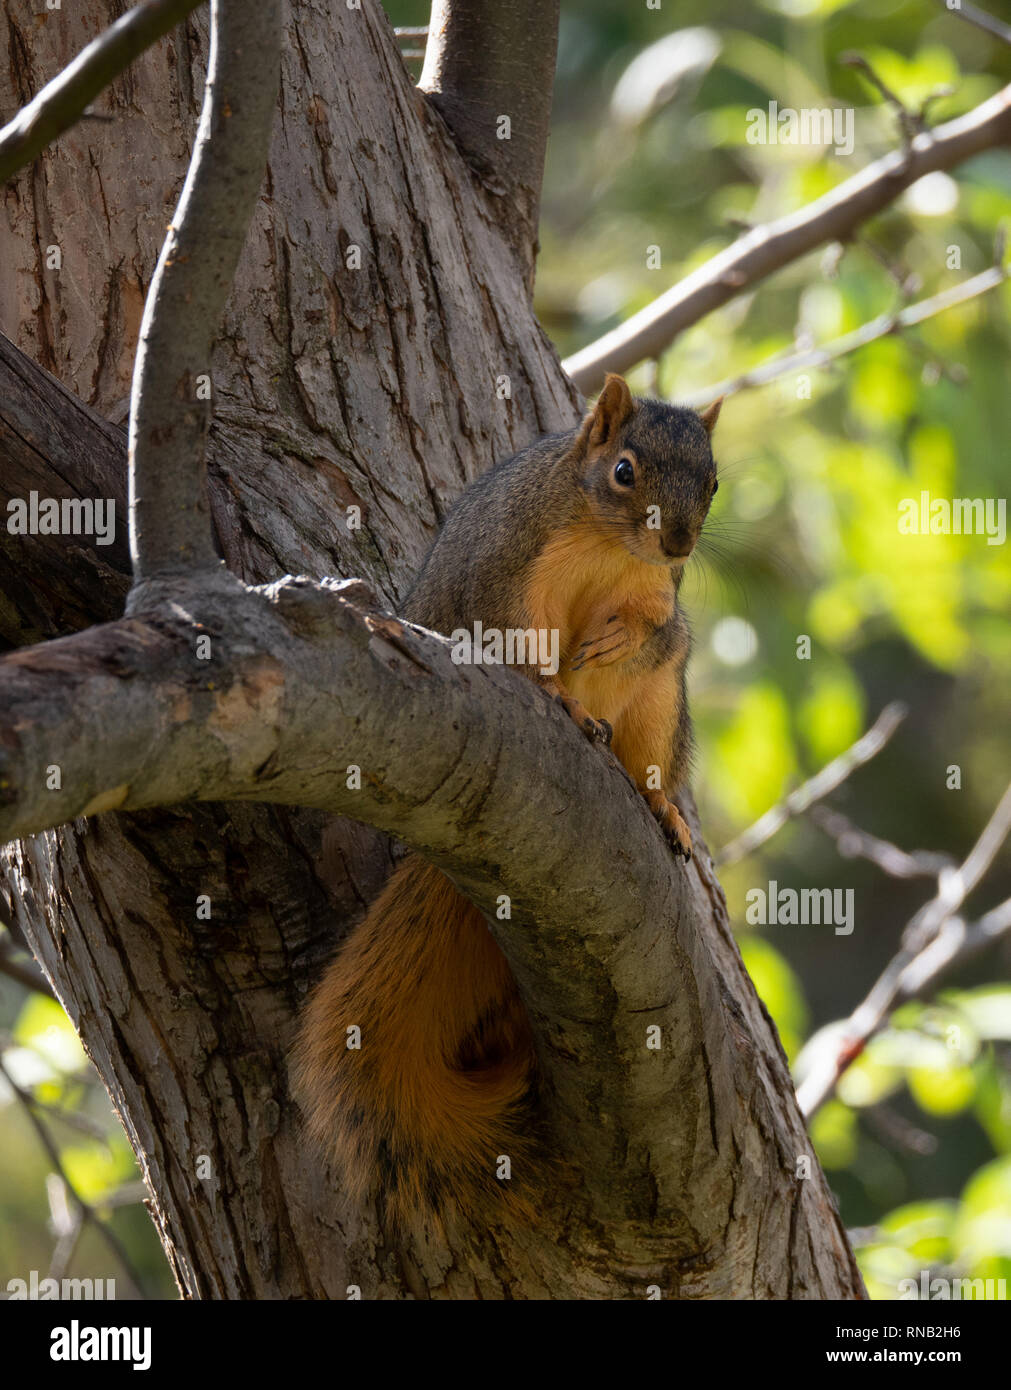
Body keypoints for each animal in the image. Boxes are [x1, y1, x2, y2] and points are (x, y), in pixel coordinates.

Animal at [289, 372, 723, 1228]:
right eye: (623, 471)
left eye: (714, 481)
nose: (679, 543)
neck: (606, 547)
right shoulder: (506, 572)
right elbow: (514, 643)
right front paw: (556, 691)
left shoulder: (663, 600)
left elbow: (663, 635)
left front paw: (618, 641)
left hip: (662, 712)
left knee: (653, 745)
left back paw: (660, 806)